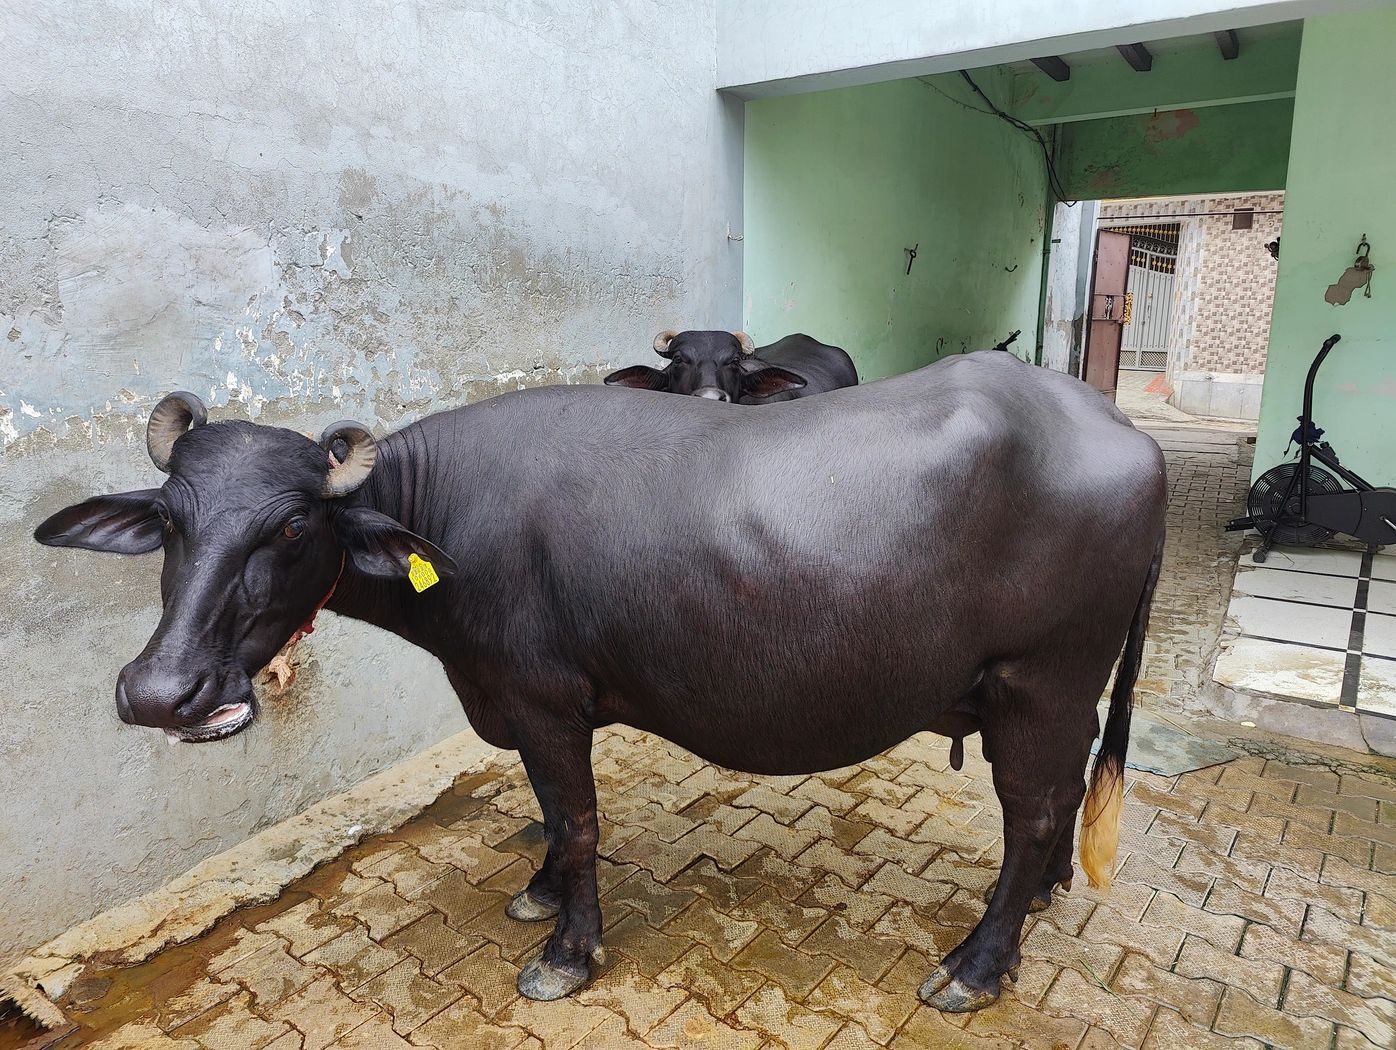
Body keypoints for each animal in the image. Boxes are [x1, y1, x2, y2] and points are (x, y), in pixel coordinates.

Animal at [35, 350, 1165, 1012]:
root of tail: (1124, 436)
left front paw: (567, 952)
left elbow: (575, 820)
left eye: (289, 526)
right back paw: (1041, 898)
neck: (451, 521)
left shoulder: (544, 702)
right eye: (170, 521)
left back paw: (976, 965)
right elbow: (546, 816)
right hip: (1061, 694)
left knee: (1029, 810)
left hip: (1038, 681)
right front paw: (538, 893)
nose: (164, 691)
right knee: (1058, 793)